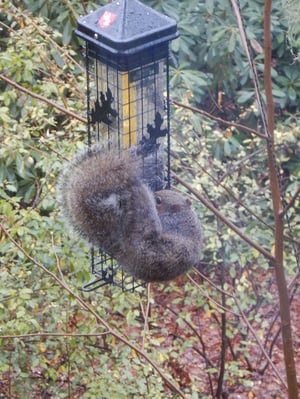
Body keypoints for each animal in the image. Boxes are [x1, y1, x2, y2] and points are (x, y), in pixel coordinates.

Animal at [58, 148, 204, 282]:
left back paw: (137, 187)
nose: (156, 193)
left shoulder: (168, 221)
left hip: (144, 222)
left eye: (159, 201)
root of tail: (122, 248)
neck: (183, 213)